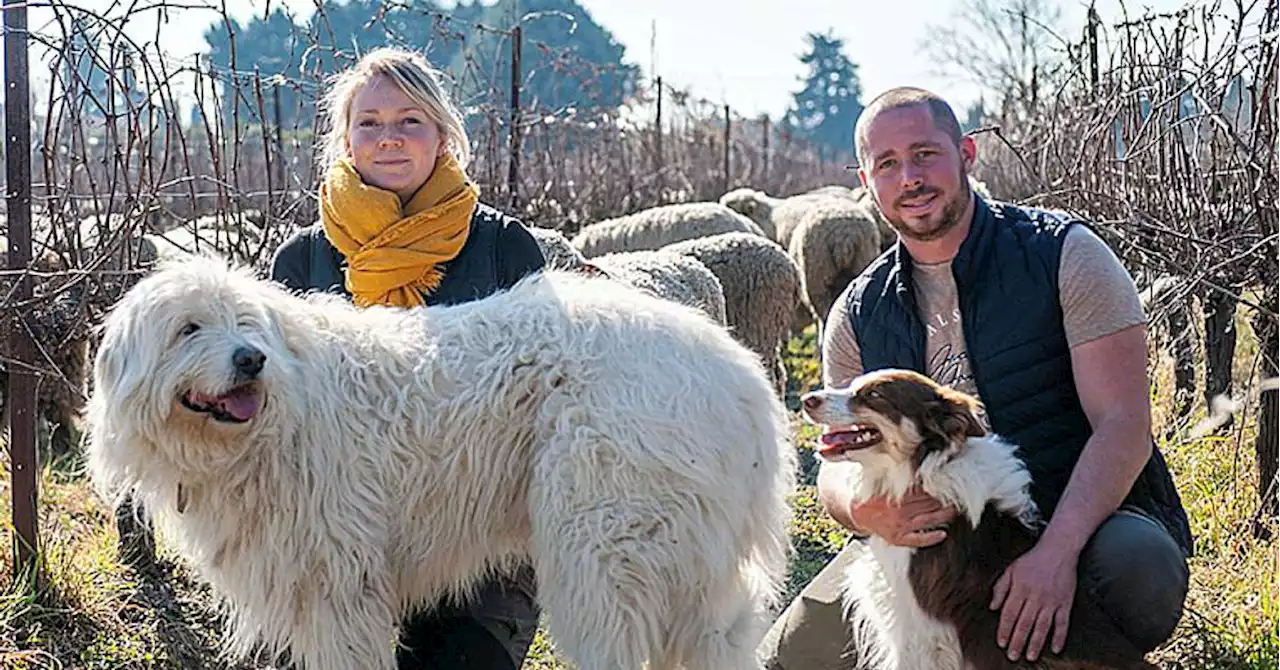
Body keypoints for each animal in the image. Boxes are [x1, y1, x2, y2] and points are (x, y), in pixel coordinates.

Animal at [85, 256, 793, 666]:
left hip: (604, 548)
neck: (285, 406)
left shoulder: (338, 582)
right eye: (189, 329)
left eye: (245, 323)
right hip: (692, 566)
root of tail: (739, 373)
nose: (250, 360)